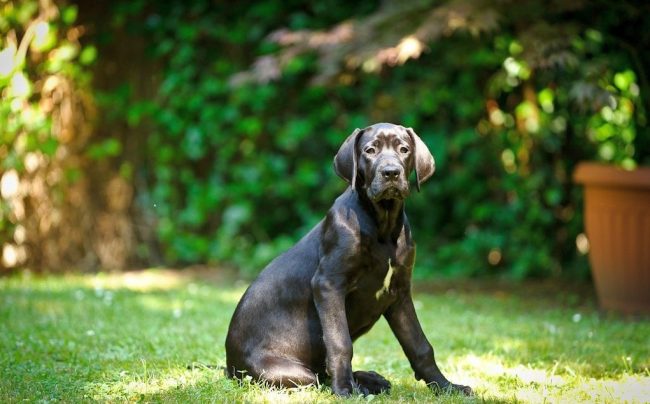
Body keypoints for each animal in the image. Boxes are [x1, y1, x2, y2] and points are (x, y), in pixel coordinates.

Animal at [225, 121, 468, 396]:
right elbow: (340, 342)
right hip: (286, 372)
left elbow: (420, 346)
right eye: (370, 150)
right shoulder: (328, 285)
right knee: (316, 378)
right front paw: (343, 389)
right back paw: (357, 384)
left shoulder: (400, 293)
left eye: (404, 150)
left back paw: (370, 380)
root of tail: (229, 365)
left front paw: (448, 387)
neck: (383, 227)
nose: (391, 173)